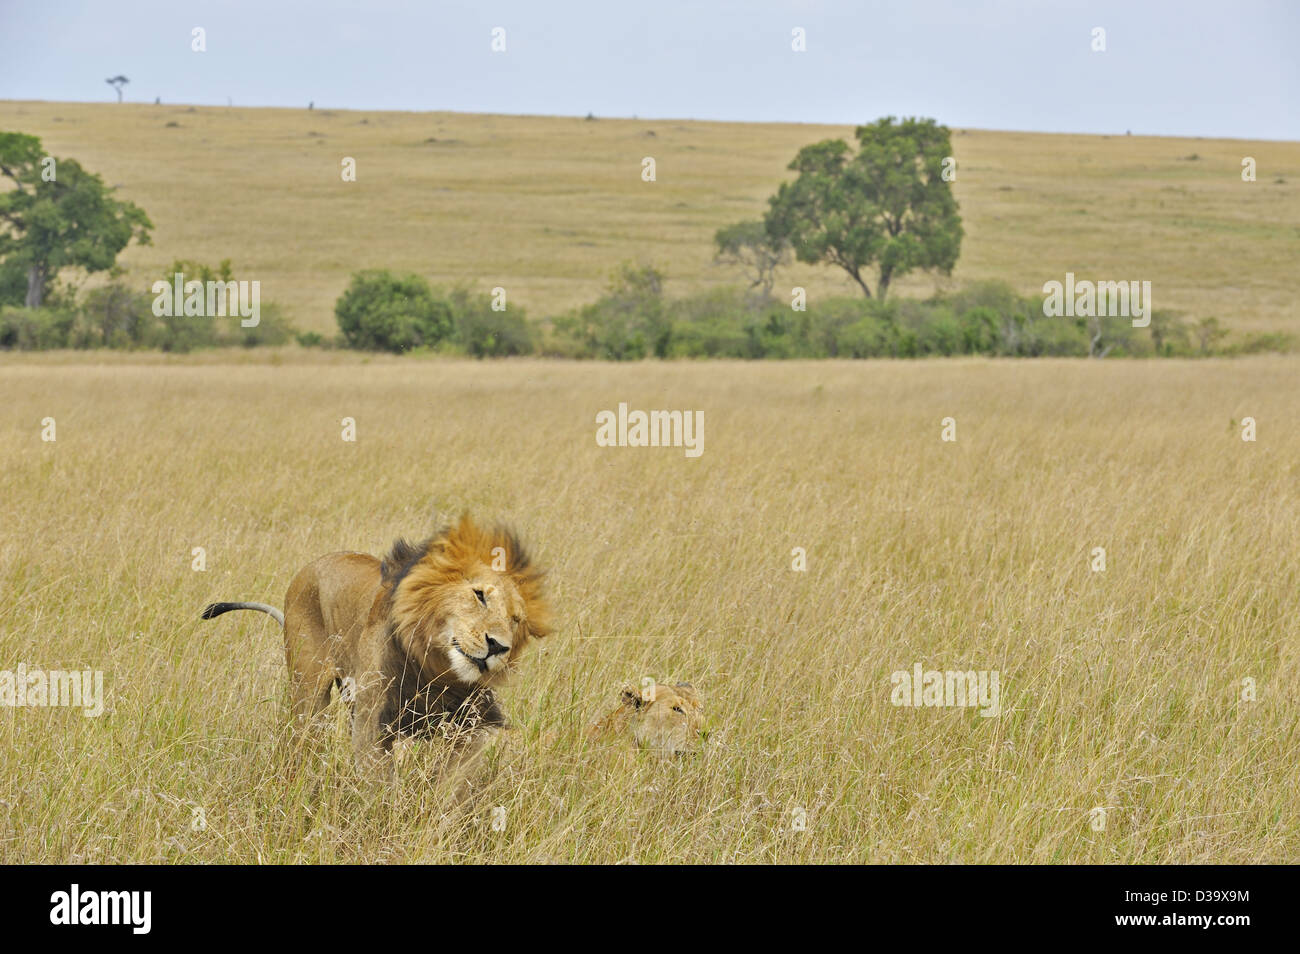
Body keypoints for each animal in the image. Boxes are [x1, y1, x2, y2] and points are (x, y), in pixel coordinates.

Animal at [201, 514, 551, 778]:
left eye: (516, 620)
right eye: (479, 596)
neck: (435, 669)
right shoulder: (373, 726)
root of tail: (311, 566)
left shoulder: (470, 726)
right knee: (301, 741)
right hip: (308, 696)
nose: (498, 646)